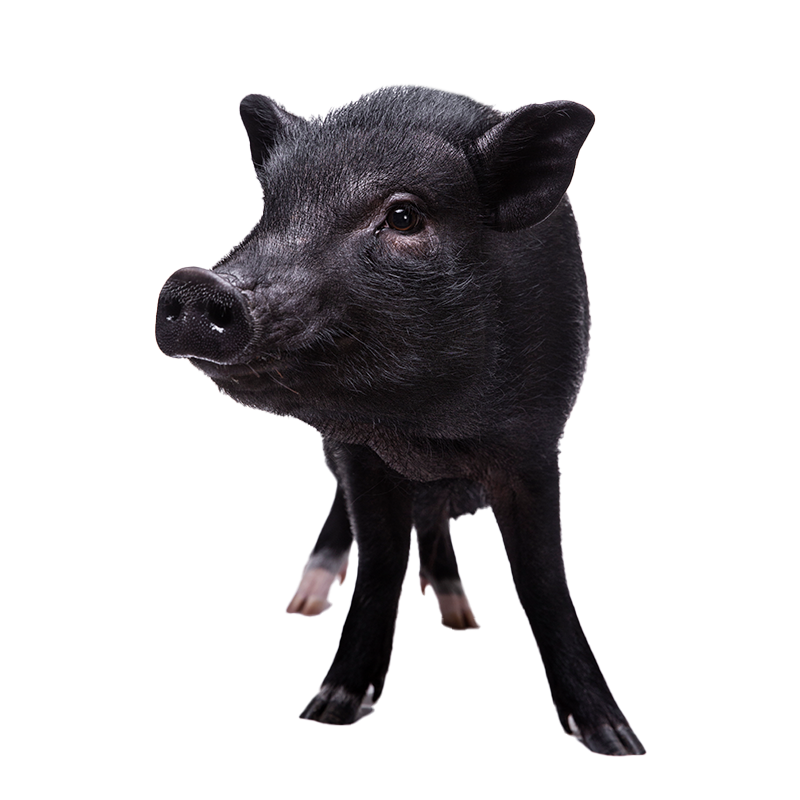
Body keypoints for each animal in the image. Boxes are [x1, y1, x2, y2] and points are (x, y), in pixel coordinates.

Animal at [155, 83, 645, 755]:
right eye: (268, 208)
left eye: (405, 216)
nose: (196, 284)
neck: (430, 435)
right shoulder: (359, 451)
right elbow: (380, 560)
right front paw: (326, 709)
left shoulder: (535, 444)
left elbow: (542, 577)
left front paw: (616, 738)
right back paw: (305, 603)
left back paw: (458, 615)